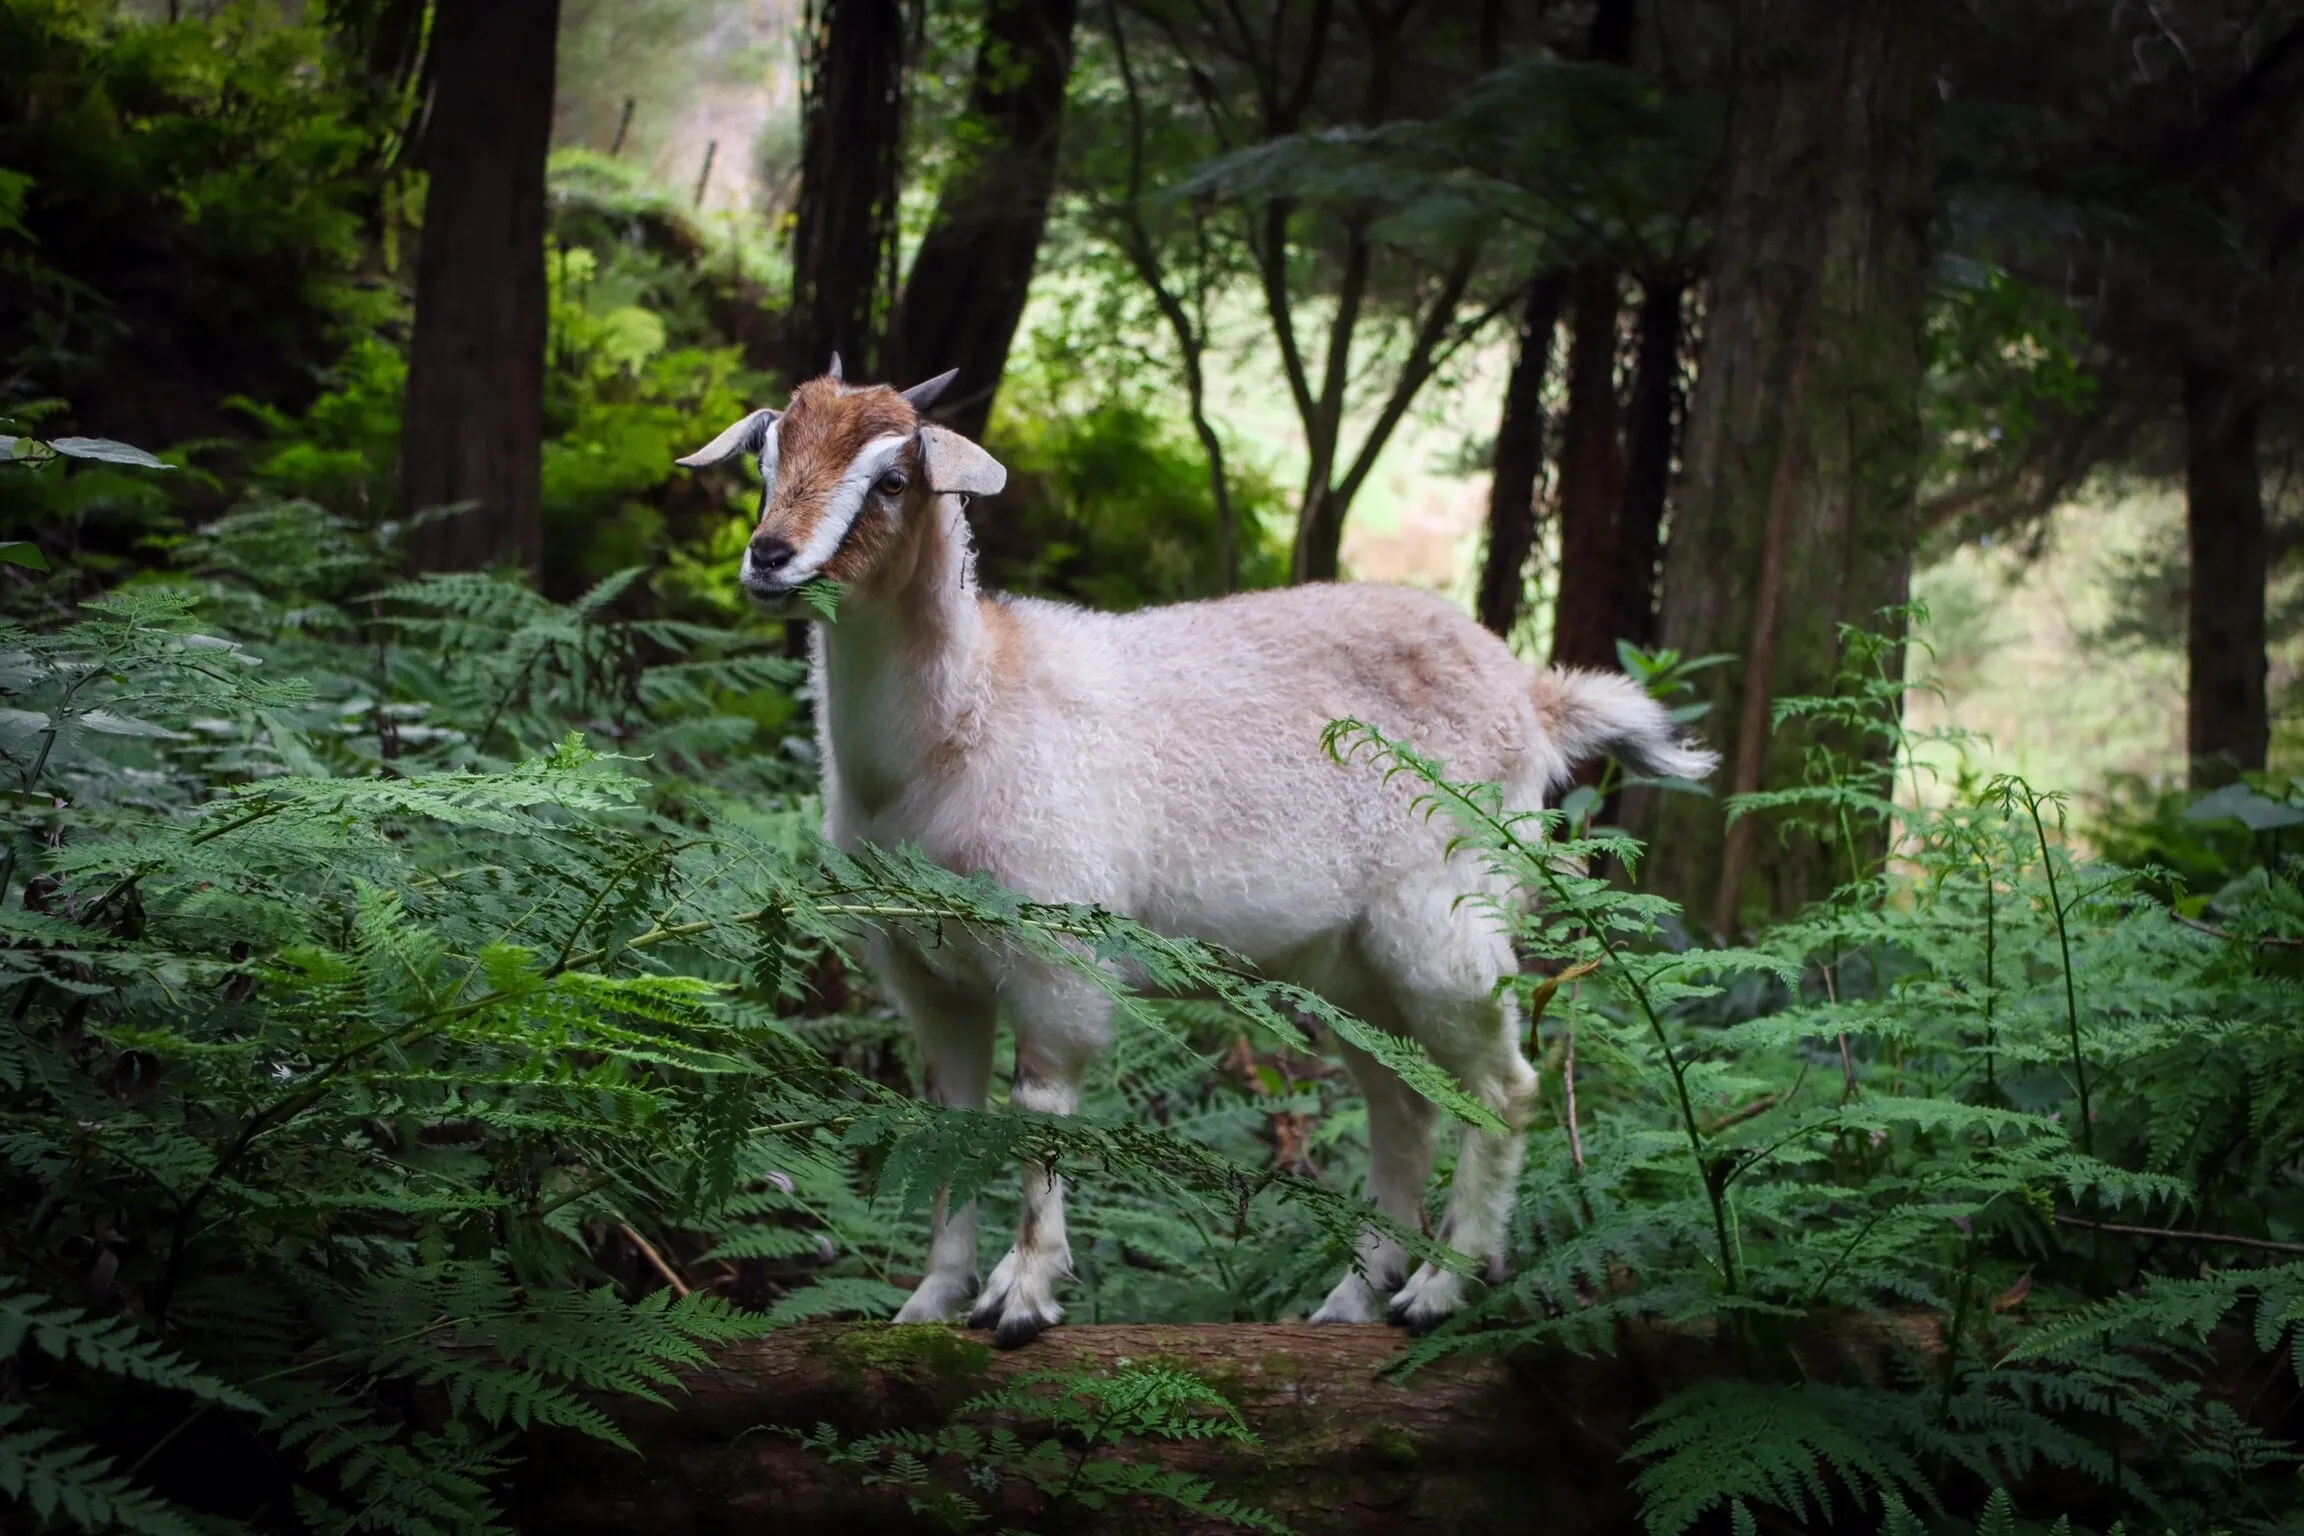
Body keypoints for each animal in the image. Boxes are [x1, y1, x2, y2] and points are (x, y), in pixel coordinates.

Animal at [678, 363, 1716, 1346]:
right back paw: (1352, 1299)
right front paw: (931, 1301)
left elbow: (1039, 1109)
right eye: (767, 459)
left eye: (892, 479)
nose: (770, 556)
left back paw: (1440, 1287)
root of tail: (1533, 698)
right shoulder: (928, 974)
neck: (964, 721)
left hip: (1449, 925)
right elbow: (951, 1122)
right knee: (1405, 1109)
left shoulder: (1057, 958)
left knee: (1502, 1091)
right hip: (1352, 974)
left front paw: (1023, 1296)